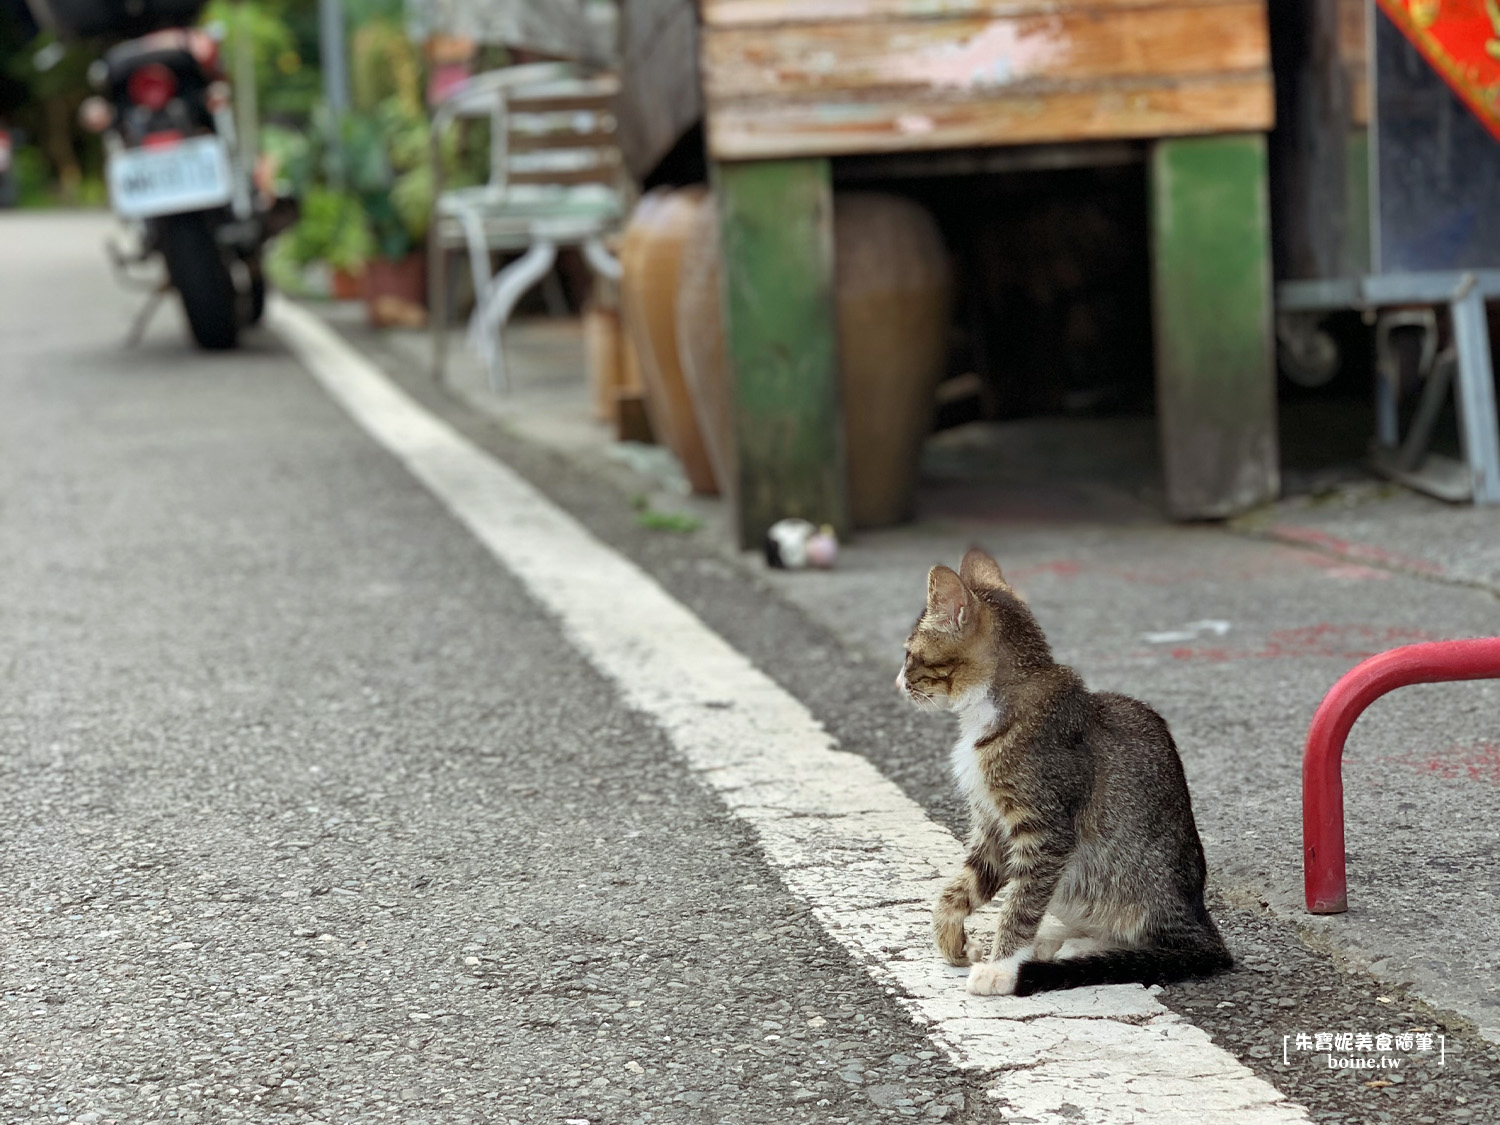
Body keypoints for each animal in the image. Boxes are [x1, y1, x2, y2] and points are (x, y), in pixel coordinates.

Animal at [888, 552, 1230, 1002]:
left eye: (909, 655)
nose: (897, 682)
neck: (987, 714)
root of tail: (1198, 919)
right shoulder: (993, 827)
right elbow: (959, 887)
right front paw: (952, 939)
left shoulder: (1046, 832)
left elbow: (1022, 903)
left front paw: (1001, 966)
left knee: (1144, 943)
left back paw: (1076, 947)